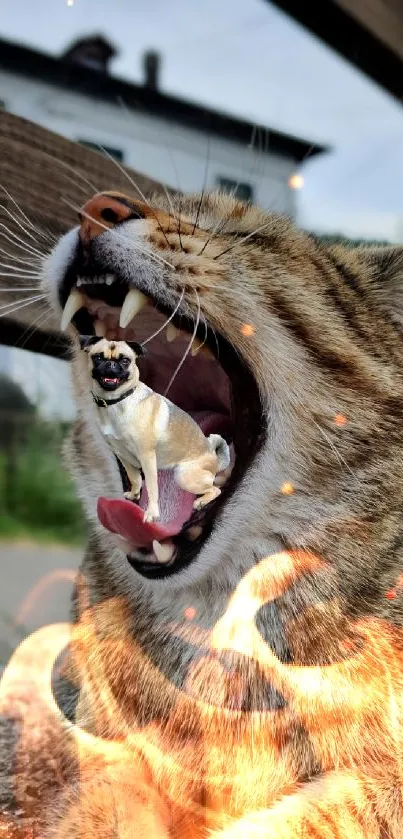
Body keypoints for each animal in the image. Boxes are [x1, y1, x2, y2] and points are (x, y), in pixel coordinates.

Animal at [81, 336, 230, 520]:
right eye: (98, 357)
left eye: (125, 361)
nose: (110, 364)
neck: (117, 402)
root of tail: (214, 458)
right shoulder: (122, 455)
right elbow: (135, 478)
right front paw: (134, 494)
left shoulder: (147, 457)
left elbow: (152, 487)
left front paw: (151, 513)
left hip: (183, 476)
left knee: (215, 489)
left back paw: (201, 502)